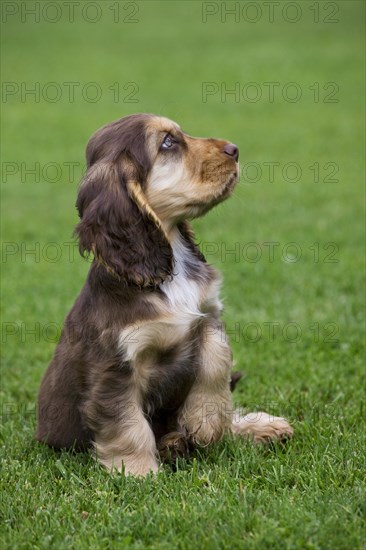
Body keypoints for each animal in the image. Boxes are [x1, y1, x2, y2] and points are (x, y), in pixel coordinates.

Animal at [36, 114, 294, 476]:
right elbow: (126, 422)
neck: (169, 263)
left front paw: (206, 423)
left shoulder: (208, 316)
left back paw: (258, 428)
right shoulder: (115, 365)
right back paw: (173, 445)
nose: (234, 149)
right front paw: (137, 472)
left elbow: (217, 364)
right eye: (167, 143)